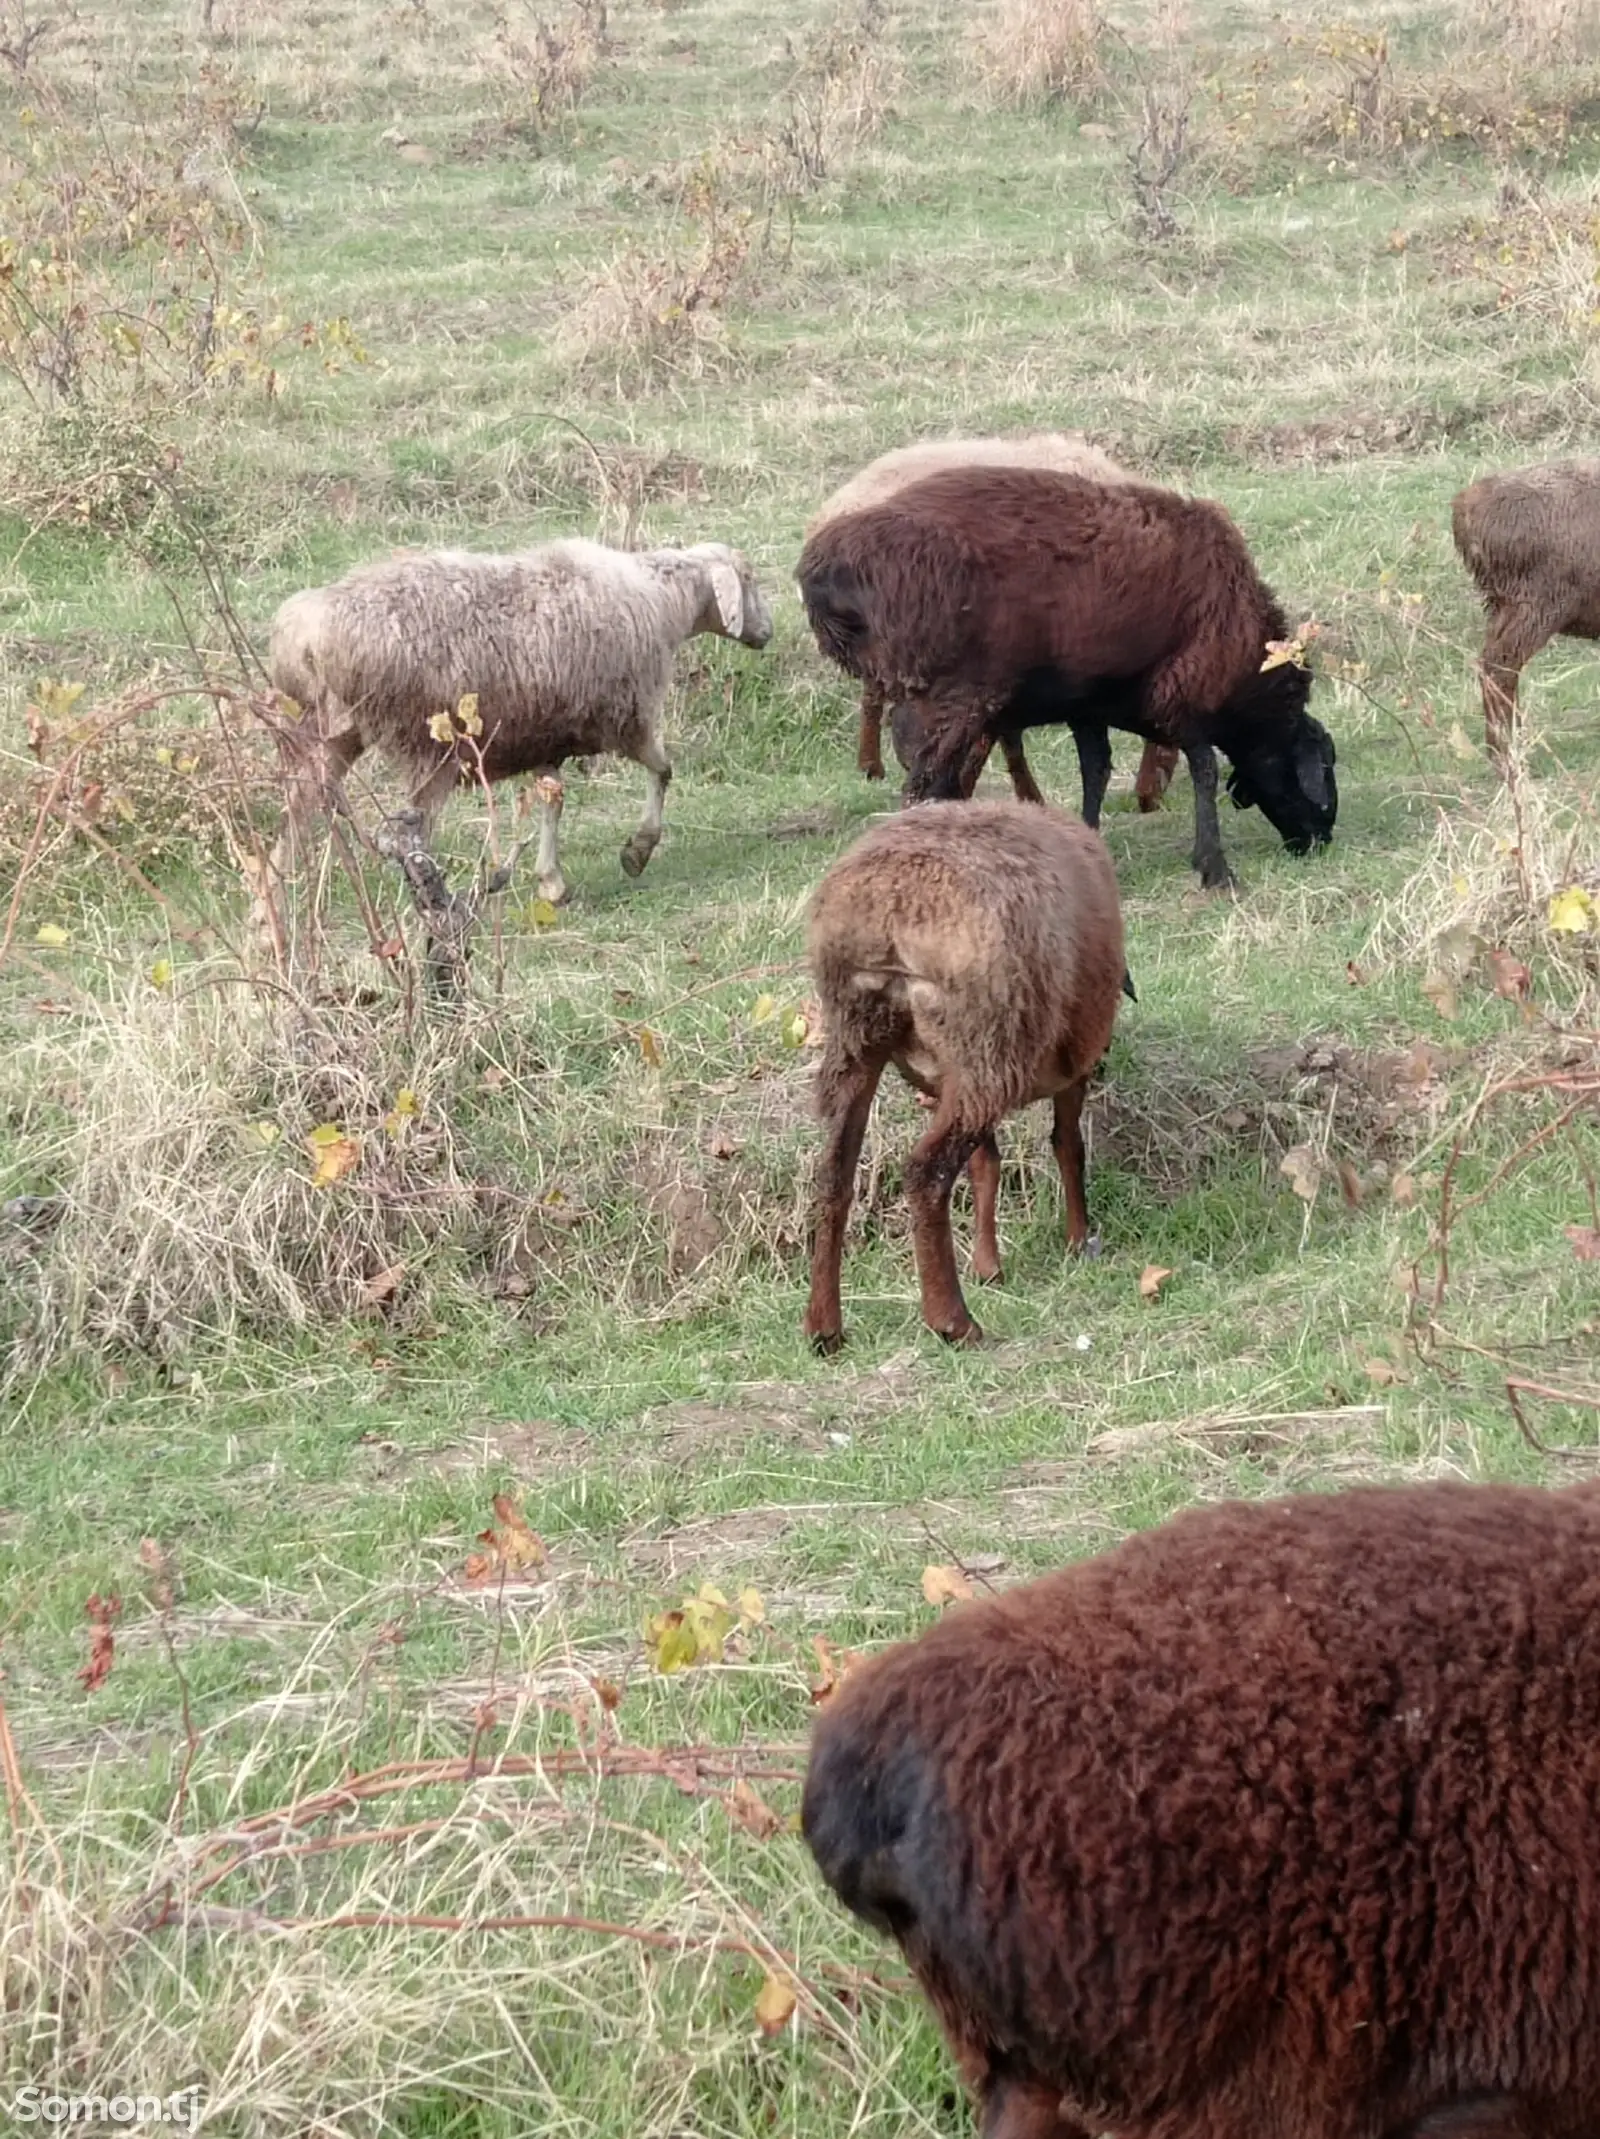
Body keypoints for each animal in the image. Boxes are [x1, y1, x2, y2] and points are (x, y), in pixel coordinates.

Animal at [264, 539, 774, 906]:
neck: (665, 603)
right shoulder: (624, 719)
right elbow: (662, 770)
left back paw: (274, 899)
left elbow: (552, 801)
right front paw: (637, 851)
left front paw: (551, 882)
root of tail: (302, 634)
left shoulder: (547, 734)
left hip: (328, 732)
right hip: (429, 744)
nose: (767, 632)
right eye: (748, 578)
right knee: (403, 831)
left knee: (300, 805)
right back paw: (436, 898)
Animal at [800, 468, 1334, 894]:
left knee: (936, 786)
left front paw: (1089, 841)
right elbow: (1204, 770)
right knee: (924, 787)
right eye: (1323, 768)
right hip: (951, 695)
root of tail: (825, 570)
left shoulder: (1091, 707)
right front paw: (1215, 869)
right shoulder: (1186, 692)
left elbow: (1095, 770)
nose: (1320, 842)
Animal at [800, 795, 1120, 1343]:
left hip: (863, 1040)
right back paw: (953, 1320)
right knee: (926, 1173)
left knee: (834, 1172)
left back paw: (824, 1327)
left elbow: (985, 1164)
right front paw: (1078, 1240)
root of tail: (893, 911)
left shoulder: (952, 1083)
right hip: (983, 1045)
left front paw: (988, 1265)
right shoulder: (1070, 1069)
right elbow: (1067, 1146)